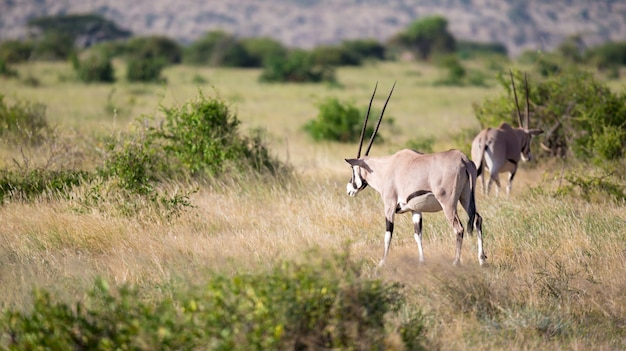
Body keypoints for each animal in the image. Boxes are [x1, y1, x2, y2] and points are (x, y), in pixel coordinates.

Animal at [344, 82, 486, 268]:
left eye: (352, 169)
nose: (349, 189)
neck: (386, 168)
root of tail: (463, 159)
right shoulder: (415, 210)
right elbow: (418, 235)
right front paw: (421, 261)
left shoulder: (389, 205)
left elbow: (388, 233)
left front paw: (382, 262)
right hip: (466, 197)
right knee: (477, 219)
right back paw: (482, 259)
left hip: (449, 203)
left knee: (459, 228)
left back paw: (456, 262)